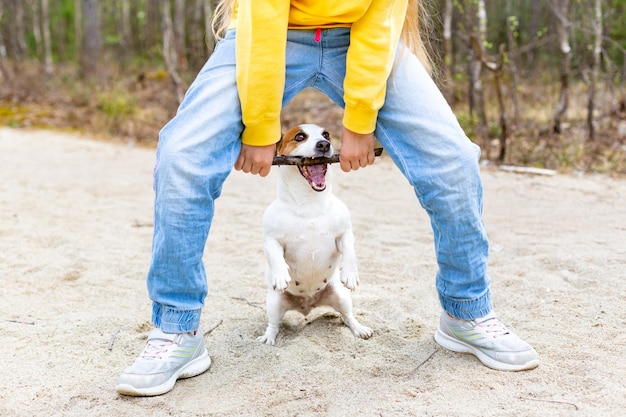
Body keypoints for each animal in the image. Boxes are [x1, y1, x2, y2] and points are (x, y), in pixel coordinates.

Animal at [258, 123, 372, 344]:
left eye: (326, 134)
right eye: (299, 137)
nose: (324, 144)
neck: (310, 202)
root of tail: (307, 304)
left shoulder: (344, 233)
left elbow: (350, 252)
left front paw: (350, 274)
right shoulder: (270, 239)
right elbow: (276, 256)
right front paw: (280, 275)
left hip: (341, 297)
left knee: (347, 316)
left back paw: (359, 328)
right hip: (274, 303)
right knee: (274, 324)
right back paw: (269, 337)